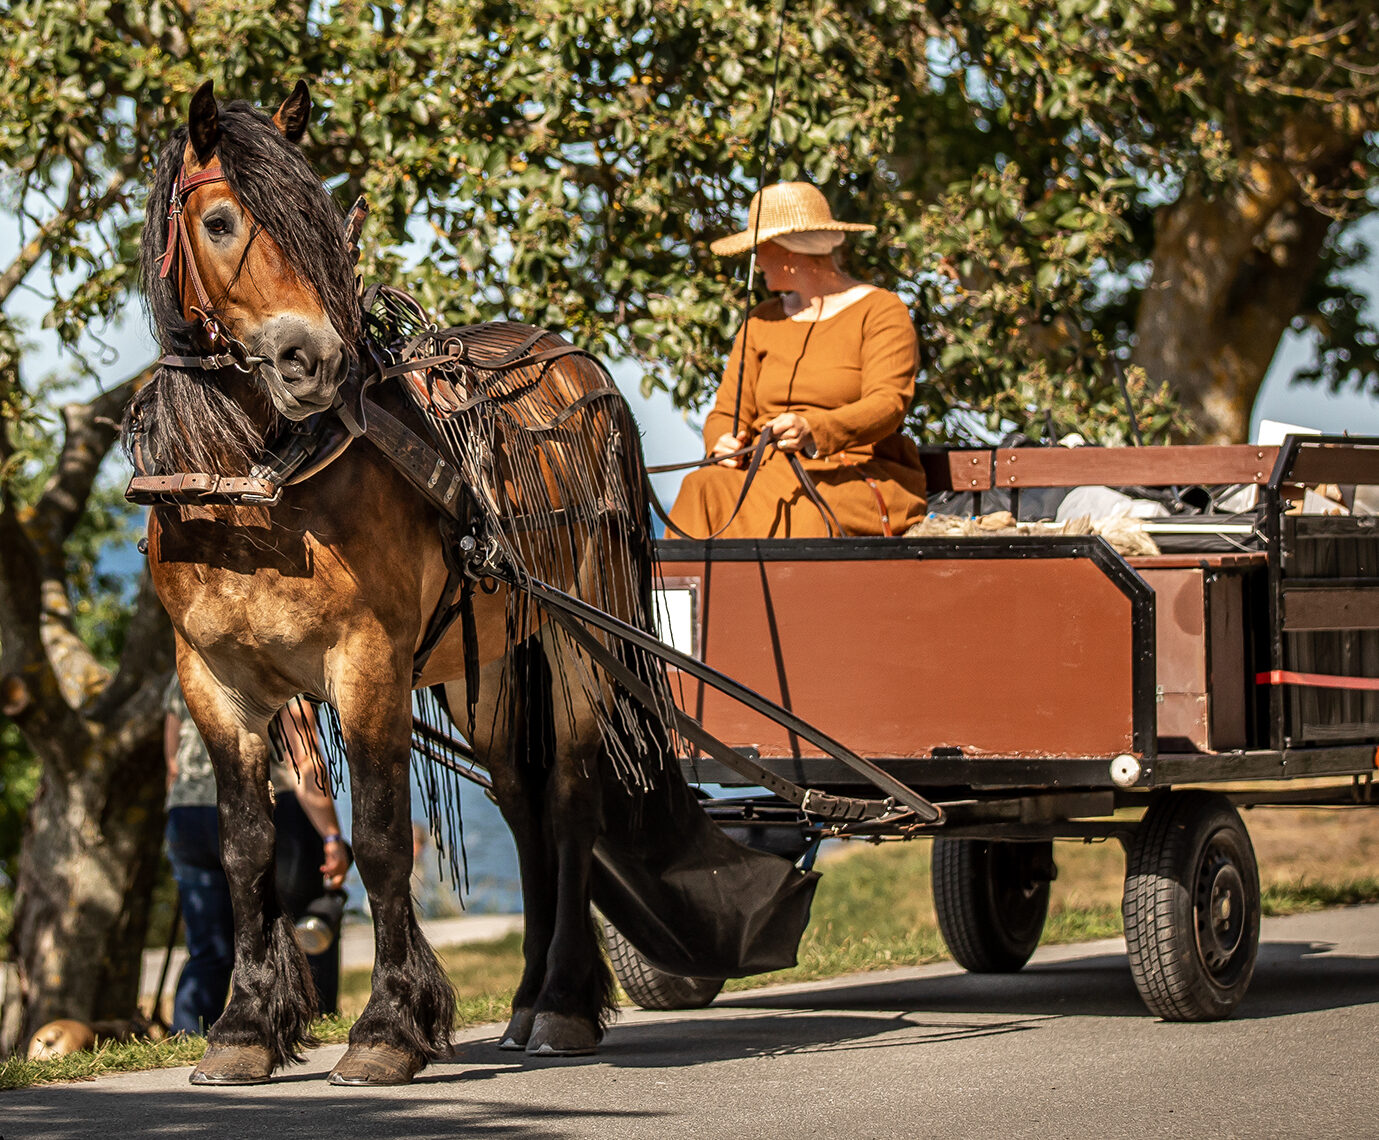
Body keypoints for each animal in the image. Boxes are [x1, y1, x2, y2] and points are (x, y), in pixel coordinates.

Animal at [126, 82, 675, 1086]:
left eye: (323, 226)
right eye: (219, 221)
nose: (313, 362)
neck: (255, 489)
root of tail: (574, 364)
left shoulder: (367, 664)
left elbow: (380, 841)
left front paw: (387, 1026)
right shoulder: (213, 682)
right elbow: (245, 849)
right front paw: (244, 1028)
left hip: (576, 642)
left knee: (569, 798)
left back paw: (563, 1005)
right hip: (480, 671)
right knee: (520, 800)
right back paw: (528, 1001)